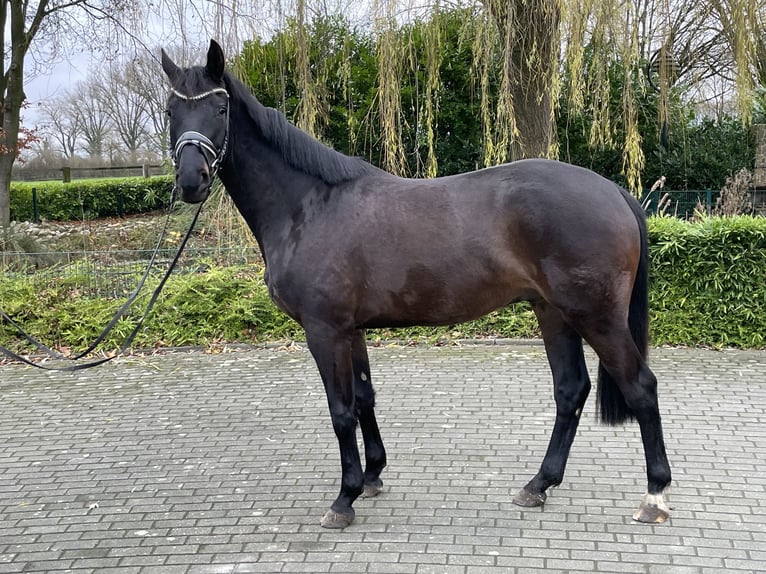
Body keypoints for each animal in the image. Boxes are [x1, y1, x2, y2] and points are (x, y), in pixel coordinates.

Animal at [160, 38, 672, 528]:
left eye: (220, 109)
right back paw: (538, 485)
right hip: (554, 313)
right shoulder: (351, 330)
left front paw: (343, 499)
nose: (191, 181)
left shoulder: (324, 330)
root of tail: (615, 191)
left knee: (641, 387)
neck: (308, 205)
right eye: (171, 111)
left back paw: (654, 497)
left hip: (596, 317)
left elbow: (340, 411)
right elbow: (364, 398)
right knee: (570, 390)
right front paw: (371, 477)